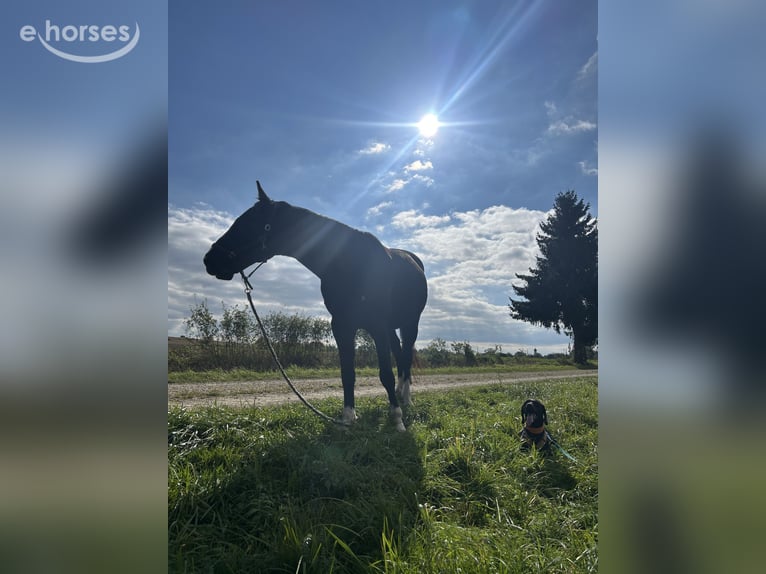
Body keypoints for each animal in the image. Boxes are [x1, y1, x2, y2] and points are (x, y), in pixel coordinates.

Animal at [203, 182, 428, 431]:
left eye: (246, 223)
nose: (209, 260)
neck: (352, 262)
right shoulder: (341, 326)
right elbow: (347, 374)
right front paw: (347, 419)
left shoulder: (377, 324)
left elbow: (385, 373)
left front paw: (397, 420)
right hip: (390, 328)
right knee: (399, 354)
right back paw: (399, 395)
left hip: (410, 323)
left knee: (405, 357)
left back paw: (405, 400)